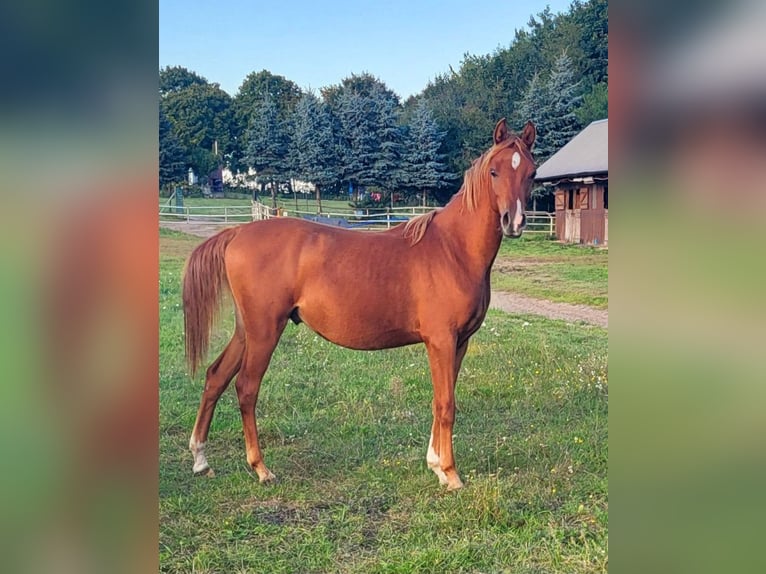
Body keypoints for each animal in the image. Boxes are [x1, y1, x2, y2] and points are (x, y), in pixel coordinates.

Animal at [183, 118, 537, 490]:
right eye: (494, 172)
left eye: (531, 172)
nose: (513, 222)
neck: (452, 249)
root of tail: (237, 233)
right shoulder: (441, 340)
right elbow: (446, 404)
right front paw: (451, 473)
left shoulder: (460, 343)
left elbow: (441, 399)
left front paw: (435, 465)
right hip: (265, 331)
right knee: (246, 388)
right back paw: (261, 468)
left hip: (246, 331)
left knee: (216, 377)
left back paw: (201, 459)